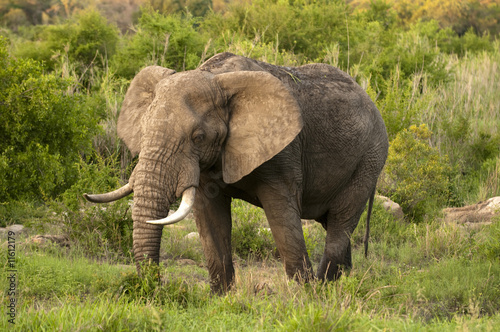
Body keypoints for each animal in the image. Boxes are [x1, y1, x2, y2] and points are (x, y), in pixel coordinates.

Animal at [84, 53, 388, 294]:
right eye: (144, 129)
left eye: (198, 137)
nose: (157, 287)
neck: (215, 77)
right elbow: (210, 220)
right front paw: (220, 298)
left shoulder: (283, 154)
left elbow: (282, 220)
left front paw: (304, 298)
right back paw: (343, 285)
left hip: (369, 159)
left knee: (340, 223)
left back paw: (327, 290)